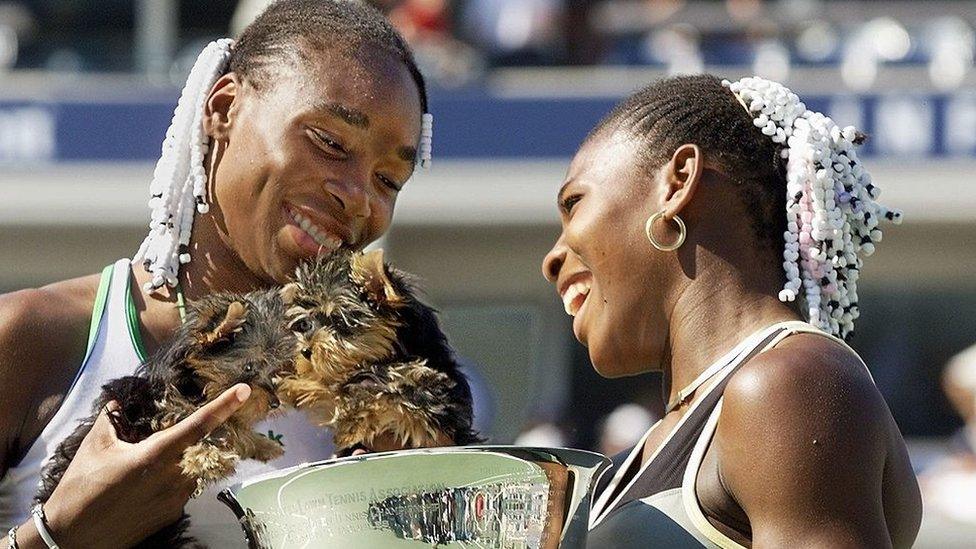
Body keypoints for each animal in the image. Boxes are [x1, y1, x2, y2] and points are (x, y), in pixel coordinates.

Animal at [36, 288, 296, 544]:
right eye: (249, 367)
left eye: (272, 369)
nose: (276, 403)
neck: (192, 388)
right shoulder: (155, 413)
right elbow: (201, 424)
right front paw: (208, 458)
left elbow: (233, 427)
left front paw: (263, 445)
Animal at [278, 250, 480, 452]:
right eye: (307, 324)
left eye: (339, 320)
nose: (305, 351)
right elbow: (339, 388)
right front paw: (294, 386)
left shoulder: (433, 401)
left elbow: (387, 395)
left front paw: (351, 425)